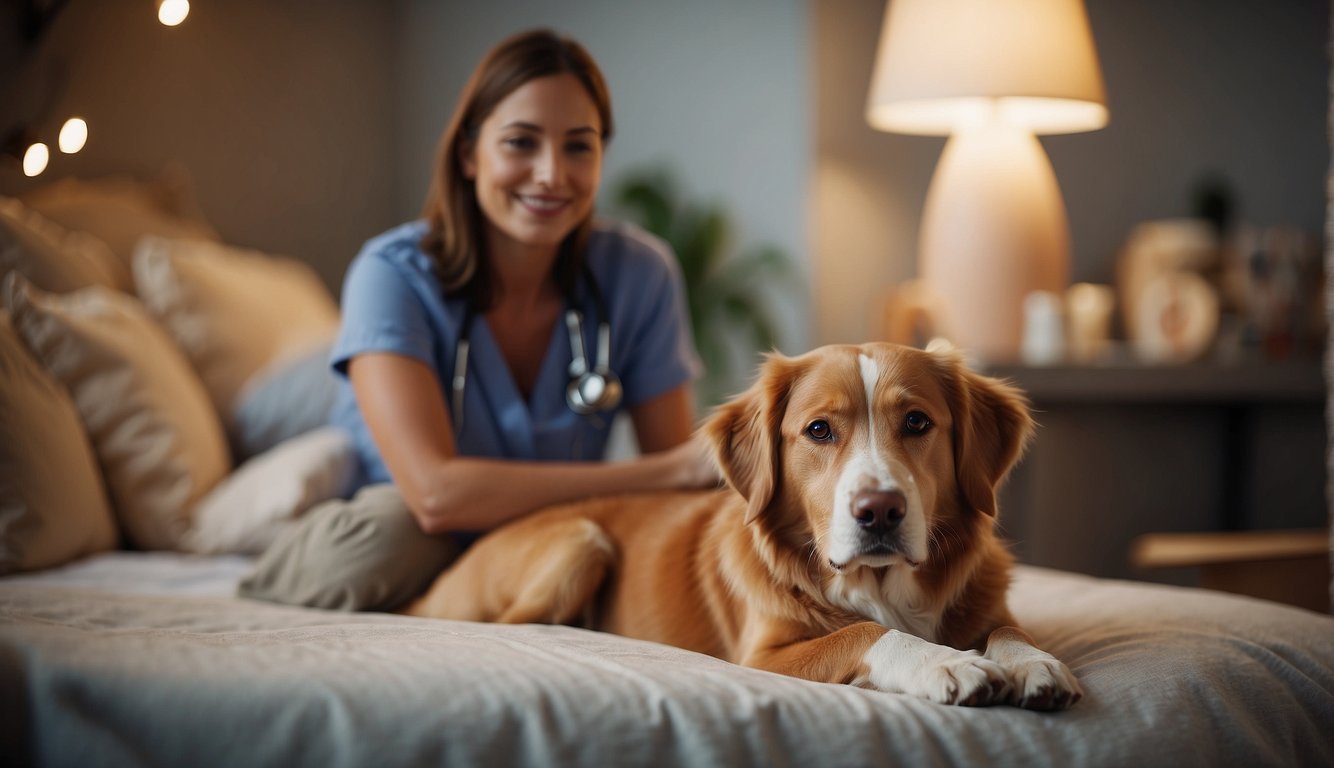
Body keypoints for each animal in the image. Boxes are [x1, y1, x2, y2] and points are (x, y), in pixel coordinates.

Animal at [405, 344, 1083, 714]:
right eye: (818, 430)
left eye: (917, 422)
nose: (879, 511)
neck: (881, 583)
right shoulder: (763, 655)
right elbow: (864, 632)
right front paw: (947, 663)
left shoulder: (989, 605)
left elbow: (1007, 629)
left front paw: (1035, 664)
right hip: (581, 540)